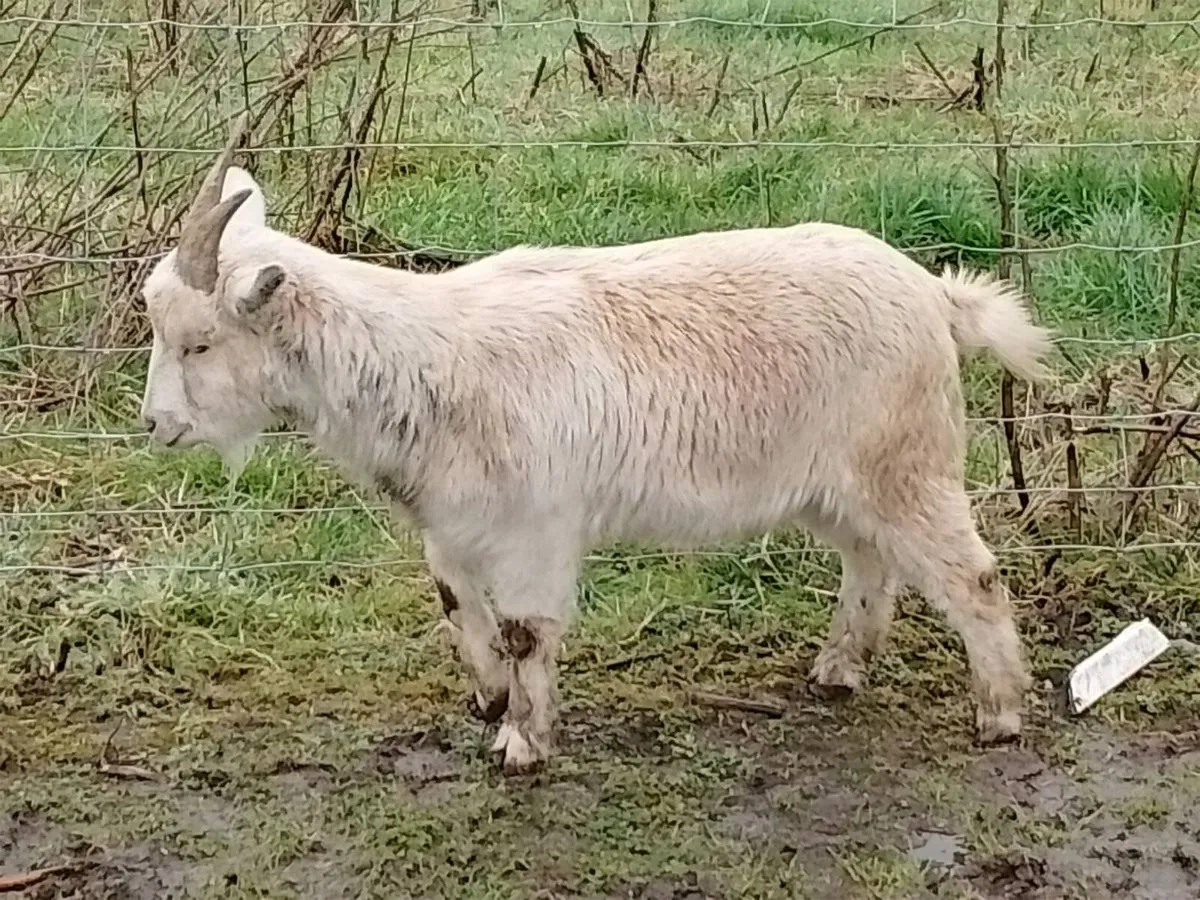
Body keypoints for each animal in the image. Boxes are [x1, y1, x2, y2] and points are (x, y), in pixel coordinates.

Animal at [138, 118, 1053, 774]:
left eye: (199, 343)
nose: (154, 425)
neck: (424, 357)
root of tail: (936, 295)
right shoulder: (451, 521)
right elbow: (458, 607)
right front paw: (490, 701)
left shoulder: (535, 527)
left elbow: (526, 630)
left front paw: (522, 743)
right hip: (831, 481)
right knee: (871, 559)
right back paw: (838, 669)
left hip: (907, 460)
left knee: (970, 575)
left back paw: (1000, 715)